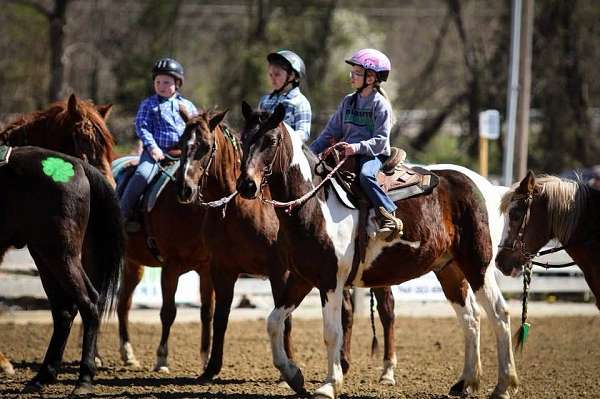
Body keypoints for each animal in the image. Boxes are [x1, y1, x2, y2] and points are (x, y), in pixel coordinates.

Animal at [237, 103, 516, 399]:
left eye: (271, 140)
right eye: (244, 139)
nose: (246, 185)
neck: (316, 202)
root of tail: (487, 188)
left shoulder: (331, 281)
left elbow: (331, 332)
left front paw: (329, 384)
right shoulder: (302, 278)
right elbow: (273, 322)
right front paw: (293, 375)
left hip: (478, 265)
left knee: (499, 313)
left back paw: (503, 385)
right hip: (449, 270)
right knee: (470, 318)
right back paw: (466, 381)